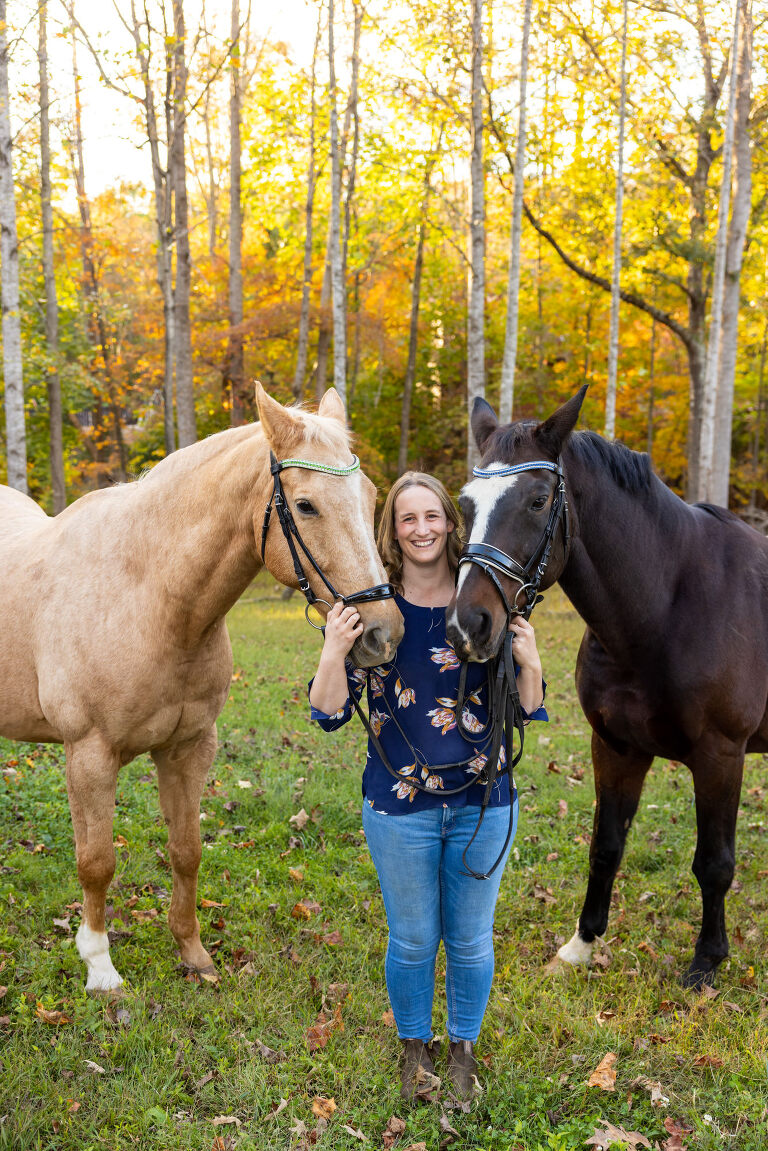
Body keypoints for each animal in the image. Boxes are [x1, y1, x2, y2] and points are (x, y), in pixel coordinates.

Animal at [0, 386, 405, 989]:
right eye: (306, 505)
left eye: (372, 495)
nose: (383, 634)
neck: (149, 597)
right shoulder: (89, 755)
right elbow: (96, 862)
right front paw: (100, 967)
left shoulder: (189, 747)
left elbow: (186, 850)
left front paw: (192, 953)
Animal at [446, 389, 768, 989]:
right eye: (465, 503)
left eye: (538, 500)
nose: (467, 625)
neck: (666, 608)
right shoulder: (616, 747)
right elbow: (606, 845)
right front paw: (582, 944)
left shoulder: (721, 755)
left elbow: (715, 863)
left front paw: (707, 962)